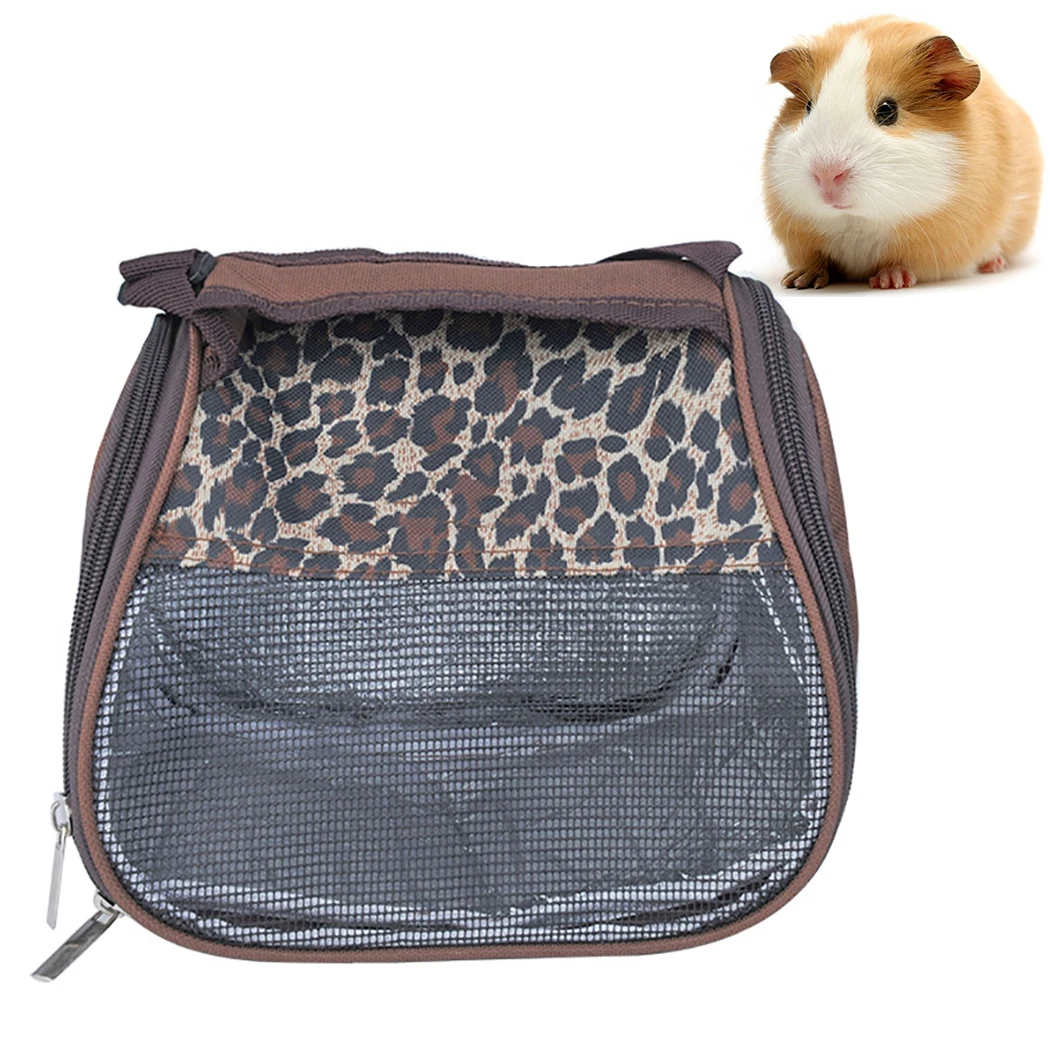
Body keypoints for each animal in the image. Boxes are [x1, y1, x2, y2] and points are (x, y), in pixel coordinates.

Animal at [763, 16, 1042, 289]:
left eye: (888, 110)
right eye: (809, 107)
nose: (827, 174)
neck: (856, 221)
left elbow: (901, 263)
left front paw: (889, 281)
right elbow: (817, 261)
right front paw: (797, 281)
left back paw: (993, 264)